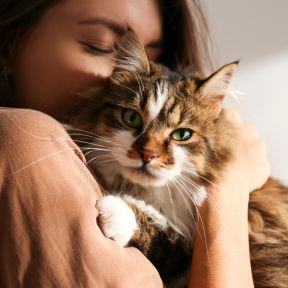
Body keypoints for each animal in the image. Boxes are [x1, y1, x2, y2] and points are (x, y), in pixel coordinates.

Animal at [65, 30, 288, 286]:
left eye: (182, 135)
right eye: (131, 118)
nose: (147, 154)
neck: (150, 194)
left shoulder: (187, 251)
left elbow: (165, 235)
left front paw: (117, 211)